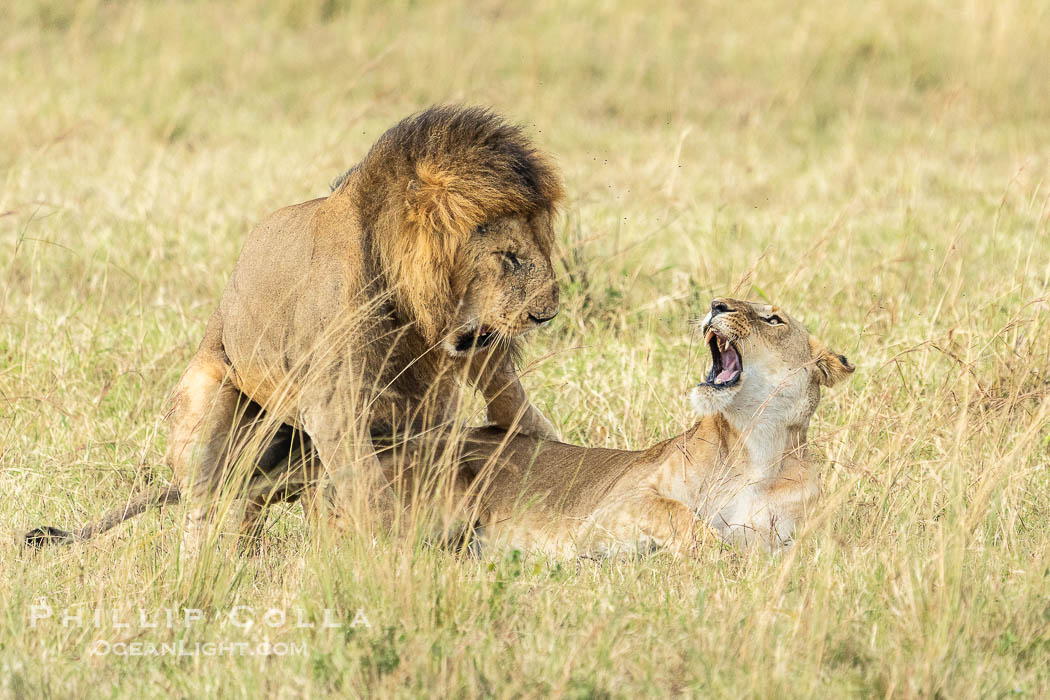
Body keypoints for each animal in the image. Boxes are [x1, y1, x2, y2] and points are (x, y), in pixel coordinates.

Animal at [25, 106, 564, 551]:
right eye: (510, 258)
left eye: (543, 248)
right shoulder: (332, 403)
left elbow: (510, 399)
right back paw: (203, 562)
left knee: (254, 506)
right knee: (205, 506)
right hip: (208, 403)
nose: (548, 314)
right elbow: (370, 490)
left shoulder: (458, 360)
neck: (415, 311)